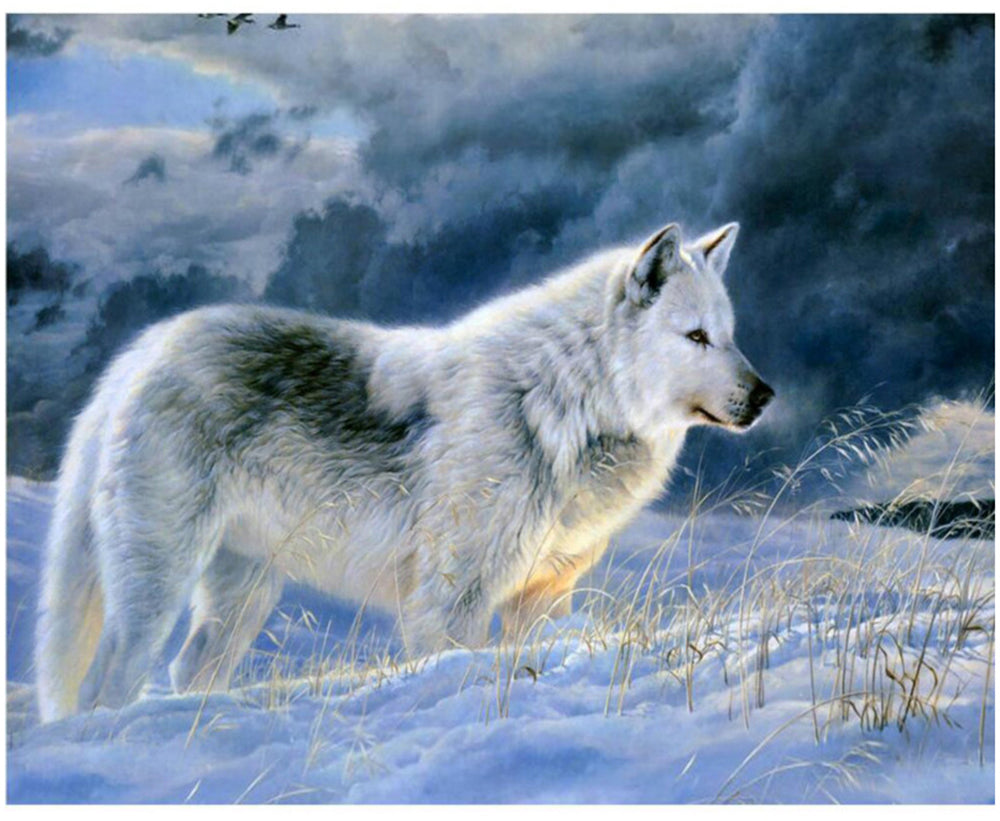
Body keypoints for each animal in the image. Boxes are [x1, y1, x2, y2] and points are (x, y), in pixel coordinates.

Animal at [36, 221, 773, 722]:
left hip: (242, 596)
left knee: (190, 671)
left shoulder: (544, 597)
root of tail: (141, 351)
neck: (562, 401)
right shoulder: (449, 602)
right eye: (695, 337)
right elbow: (452, 667)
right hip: (156, 587)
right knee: (106, 684)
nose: (766, 396)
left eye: (731, 334)